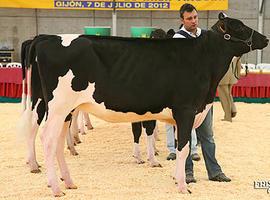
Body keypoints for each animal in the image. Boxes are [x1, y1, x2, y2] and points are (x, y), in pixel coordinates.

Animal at [19, 13, 268, 196]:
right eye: (240, 27)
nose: (265, 39)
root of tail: (47, 38)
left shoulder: (180, 114)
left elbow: (180, 147)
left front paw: (176, 177)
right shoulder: (186, 110)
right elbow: (183, 147)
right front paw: (182, 186)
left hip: (66, 111)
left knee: (58, 141)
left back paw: (69, 182)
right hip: (56, 107)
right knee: (46, 138)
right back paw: (55, 187)